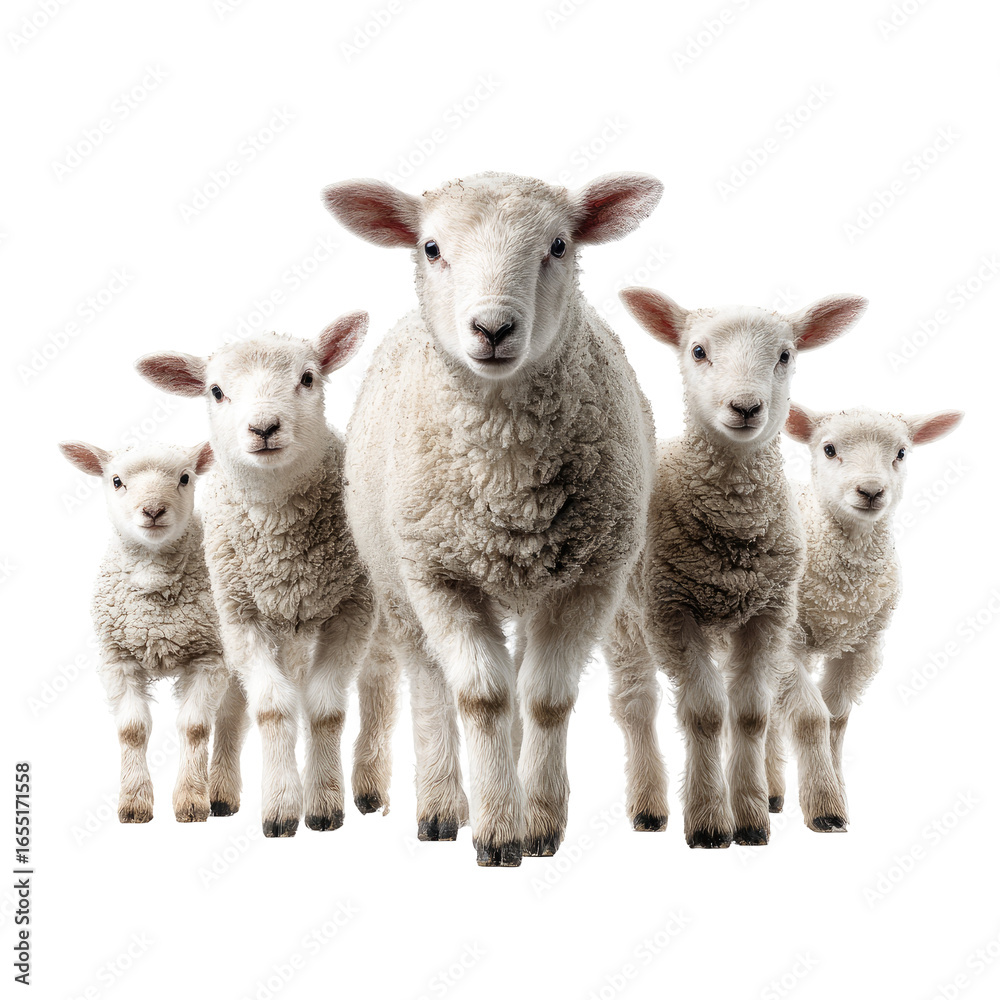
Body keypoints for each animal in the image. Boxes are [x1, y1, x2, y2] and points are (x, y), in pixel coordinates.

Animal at [58, 438, 228, 823]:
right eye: (116, 481)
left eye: (185, 477)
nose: (153, 510)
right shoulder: (117, 658)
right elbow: (132, 730)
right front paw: (134, 801)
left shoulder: (209, 657)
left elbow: (195, 727)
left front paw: (192, 800)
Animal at [135, 313, 399, 837]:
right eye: (216, 391)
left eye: (308, 378)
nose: (264, 428)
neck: (283, 546)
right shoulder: (239, 617)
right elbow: (272, 707)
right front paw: (279, 806)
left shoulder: (352, 609)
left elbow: (325, 707)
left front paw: (323, 804)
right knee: (235, 707)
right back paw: (221, 794)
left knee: (378, 685)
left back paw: (369, 785)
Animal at [323, 171, 663, 865]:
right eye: (430, 248)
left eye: (559, 245)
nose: (493, 328)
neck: (508, 480)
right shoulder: (439, 577)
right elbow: (480, 697)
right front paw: (498, 830)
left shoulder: (590, 580)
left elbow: (545, 697)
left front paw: (538, 823)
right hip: (399, 585)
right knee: (432, 686)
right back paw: (442, 806)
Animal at [606, 287, 867, 847]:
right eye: (698, 351)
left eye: (786, 355)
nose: (745, 407)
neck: (736, 522)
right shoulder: (671, 610)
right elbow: (705, 714)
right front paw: (708, 820)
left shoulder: (768, 615)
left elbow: (748, 714)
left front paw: (747, 818)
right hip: (626, 620)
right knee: (635, 705)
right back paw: (649, 807)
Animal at [767, 403, 964, 824]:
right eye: (828, 449)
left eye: (901, 453)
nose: (872, 491)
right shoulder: (785, 641)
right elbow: (811, 716)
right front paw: (825, 808)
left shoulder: (863, 645)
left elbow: (836, 720)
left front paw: (837, 793)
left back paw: (772, 793)